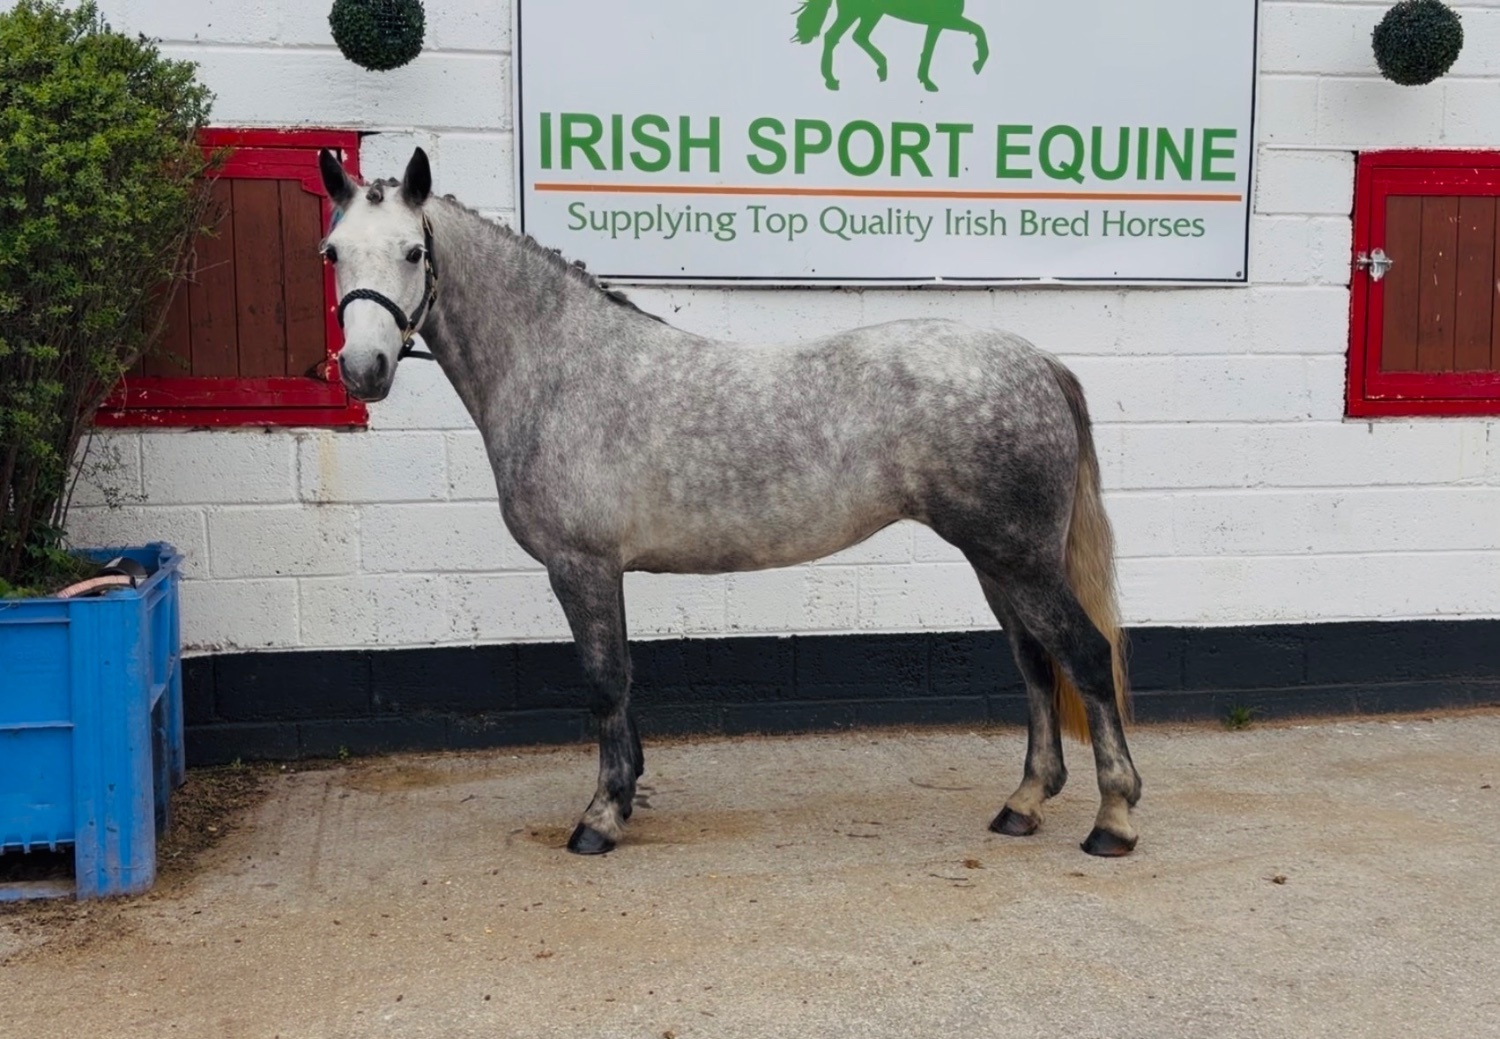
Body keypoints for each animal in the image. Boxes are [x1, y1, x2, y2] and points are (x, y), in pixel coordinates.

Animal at [316, 147, 1143, 858]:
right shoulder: (605, 571)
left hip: (1019, 558)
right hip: (996, 559)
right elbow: (622, 678)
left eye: (413, 252)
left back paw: (1114, 819)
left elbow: (603, 681)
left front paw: (600, 817)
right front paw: (628, 790)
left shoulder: (580, 566)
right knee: (1035, 663)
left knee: (1084, 655)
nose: (364, 369)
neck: (559, 367)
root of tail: (1036, 360)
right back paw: (1024, 802)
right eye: (332, 252)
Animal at [792, 0, 990, 92]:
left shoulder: (937, 23)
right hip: (855, 12)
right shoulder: (946, 19)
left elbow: (928, 51)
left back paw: (882, 68)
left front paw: (926, 81)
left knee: (859, 36)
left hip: (872, 12)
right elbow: (979, 30)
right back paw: (831, 80)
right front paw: (978, 64)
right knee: (833, 36)